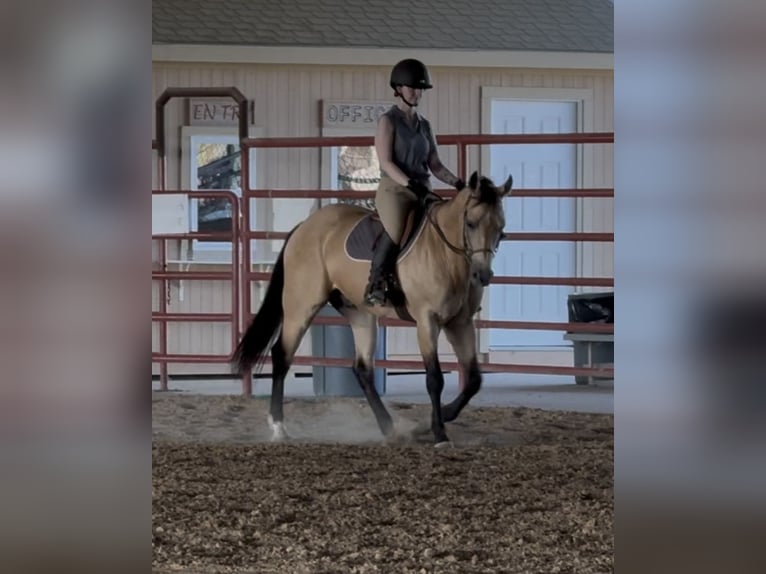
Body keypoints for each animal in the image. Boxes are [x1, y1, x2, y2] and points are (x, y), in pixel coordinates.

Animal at [233, 171, 513, 446]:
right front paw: (438, 432)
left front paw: (431, 422)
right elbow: (435, 379)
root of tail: (305, 226)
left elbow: (474, 380)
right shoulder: (427, 321)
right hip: (301, 305)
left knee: (362, 369)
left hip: (360, 314)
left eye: (501, 229)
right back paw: (278, 427)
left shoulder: (460, 322)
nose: (483, 275)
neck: (446, 256)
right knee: (282, 355)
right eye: (471, 223)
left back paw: (390, 428)